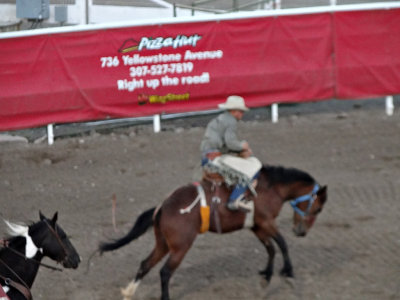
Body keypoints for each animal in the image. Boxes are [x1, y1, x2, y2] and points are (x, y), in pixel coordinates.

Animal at [99, 165, 328, 298]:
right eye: (318, 209)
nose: (301, 231)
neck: (270, 188)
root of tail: (163, 206)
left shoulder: (257, 226)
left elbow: (270, 248)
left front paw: (266, 277)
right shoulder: (266, 222)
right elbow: (282, 243)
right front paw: (288, 272)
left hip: (163, 243)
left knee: (145, 265)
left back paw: (129, 291)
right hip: (180, 247)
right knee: (164, 272)